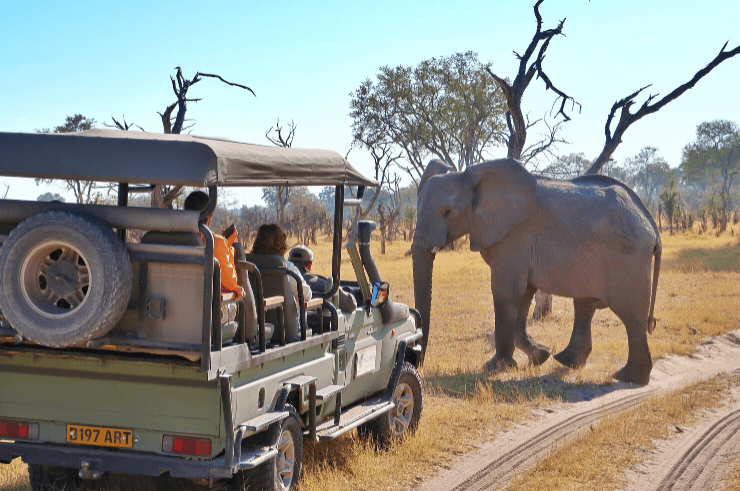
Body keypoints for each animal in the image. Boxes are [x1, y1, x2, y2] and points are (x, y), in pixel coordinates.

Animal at [414, 160, 660, 386]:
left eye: (448, 212)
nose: (418, 362)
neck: (468, 177)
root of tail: (651, 226)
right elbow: (523, 296)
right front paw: (539, 357)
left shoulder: (514, 236)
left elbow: (506, 292)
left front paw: (495, 367)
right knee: (585, 305)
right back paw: (568, 361)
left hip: (628, 259)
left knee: (631, 317)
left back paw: (628, 378)